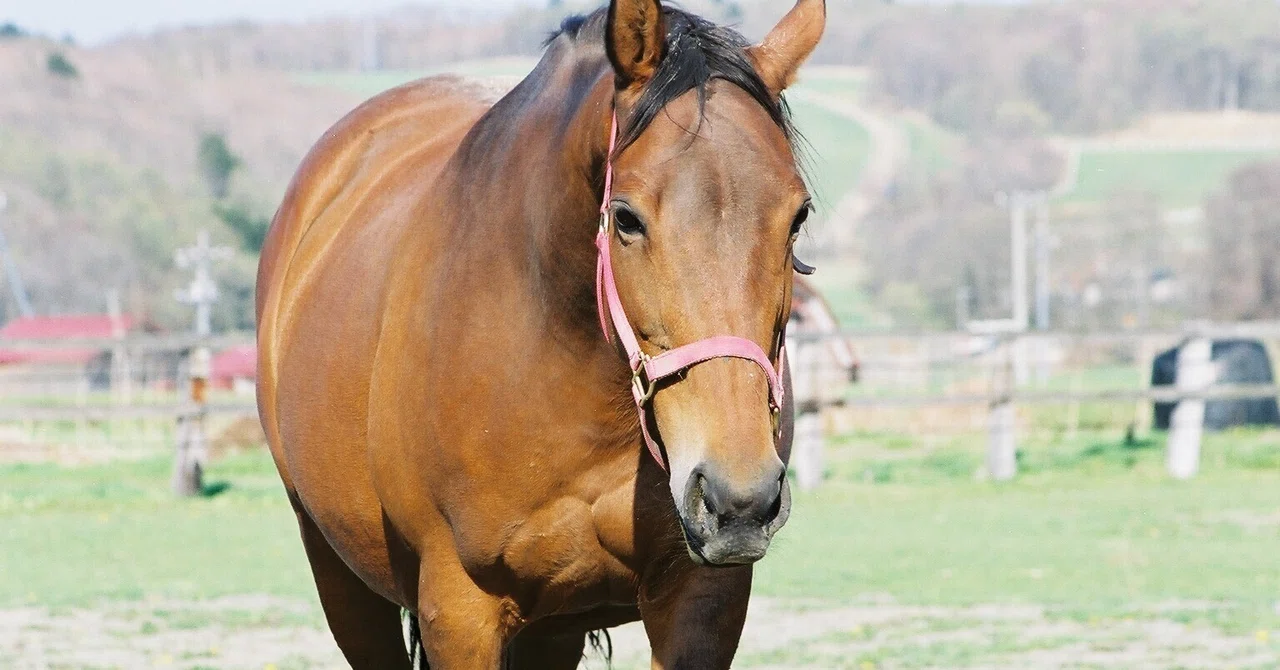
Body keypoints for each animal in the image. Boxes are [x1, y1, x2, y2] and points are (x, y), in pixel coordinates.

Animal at [255, 1, 826, 667]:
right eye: (625, 218)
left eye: (797, 218)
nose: (740, 498)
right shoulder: (461, 611)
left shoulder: (703, 599)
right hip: (341, 577)